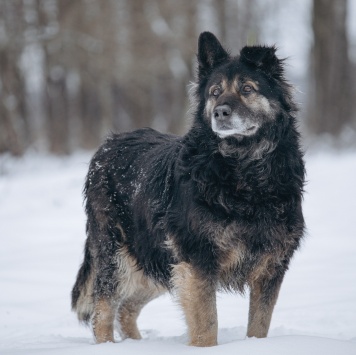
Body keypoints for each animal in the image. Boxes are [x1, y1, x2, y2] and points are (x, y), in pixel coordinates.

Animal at [72, 31, 306, 348]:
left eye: (247, 89)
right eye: (215, 92)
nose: (220, 112)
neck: (244, 171)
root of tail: (107, 145)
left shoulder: (270, 266)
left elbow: (259, 325)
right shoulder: (198, 259)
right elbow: (207, 324)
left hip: (156, 260)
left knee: (127, 308)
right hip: (119, 256)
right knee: (103, 311)